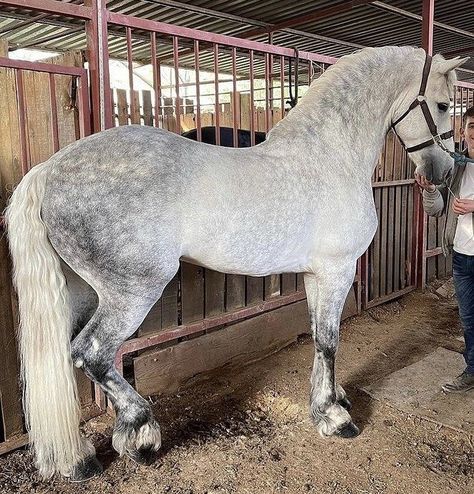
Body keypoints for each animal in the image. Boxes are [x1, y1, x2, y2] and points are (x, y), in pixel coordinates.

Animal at [5, 46, 464, 478]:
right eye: (444, 105)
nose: (442, 172)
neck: (329, 157)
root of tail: (50, 170)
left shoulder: (316, 274)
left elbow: (318, 337)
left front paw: (327, 401)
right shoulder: (338, 270)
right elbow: (330, 341)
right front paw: (335, 418)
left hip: (81, 291)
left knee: (67, 360)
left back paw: (79, 457)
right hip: (132, 291)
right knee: (92, 354)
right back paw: (141, 435)